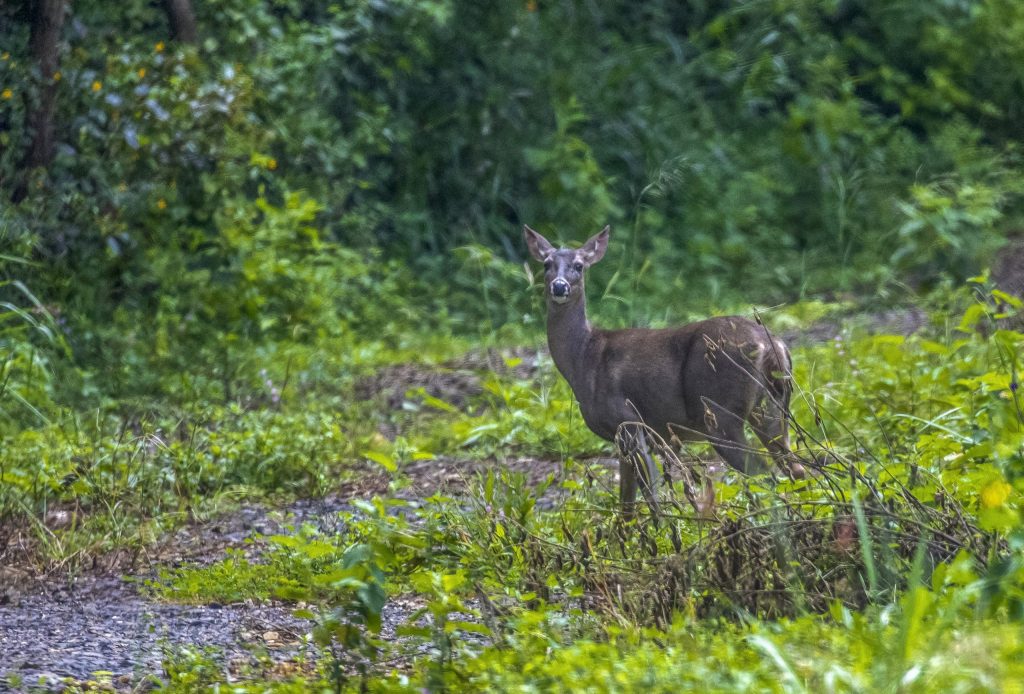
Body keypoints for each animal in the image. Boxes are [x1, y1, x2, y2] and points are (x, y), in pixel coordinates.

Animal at [524, 224, 805, 517]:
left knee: (764, 473)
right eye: (546, 264)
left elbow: (646, 498)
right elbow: (632, 502)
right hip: (772, 408)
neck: (584, 357)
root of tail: (772, 345)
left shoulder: (628, 421)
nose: (559, 286)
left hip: (720, 413)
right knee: (795, 469)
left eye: (579, 266)